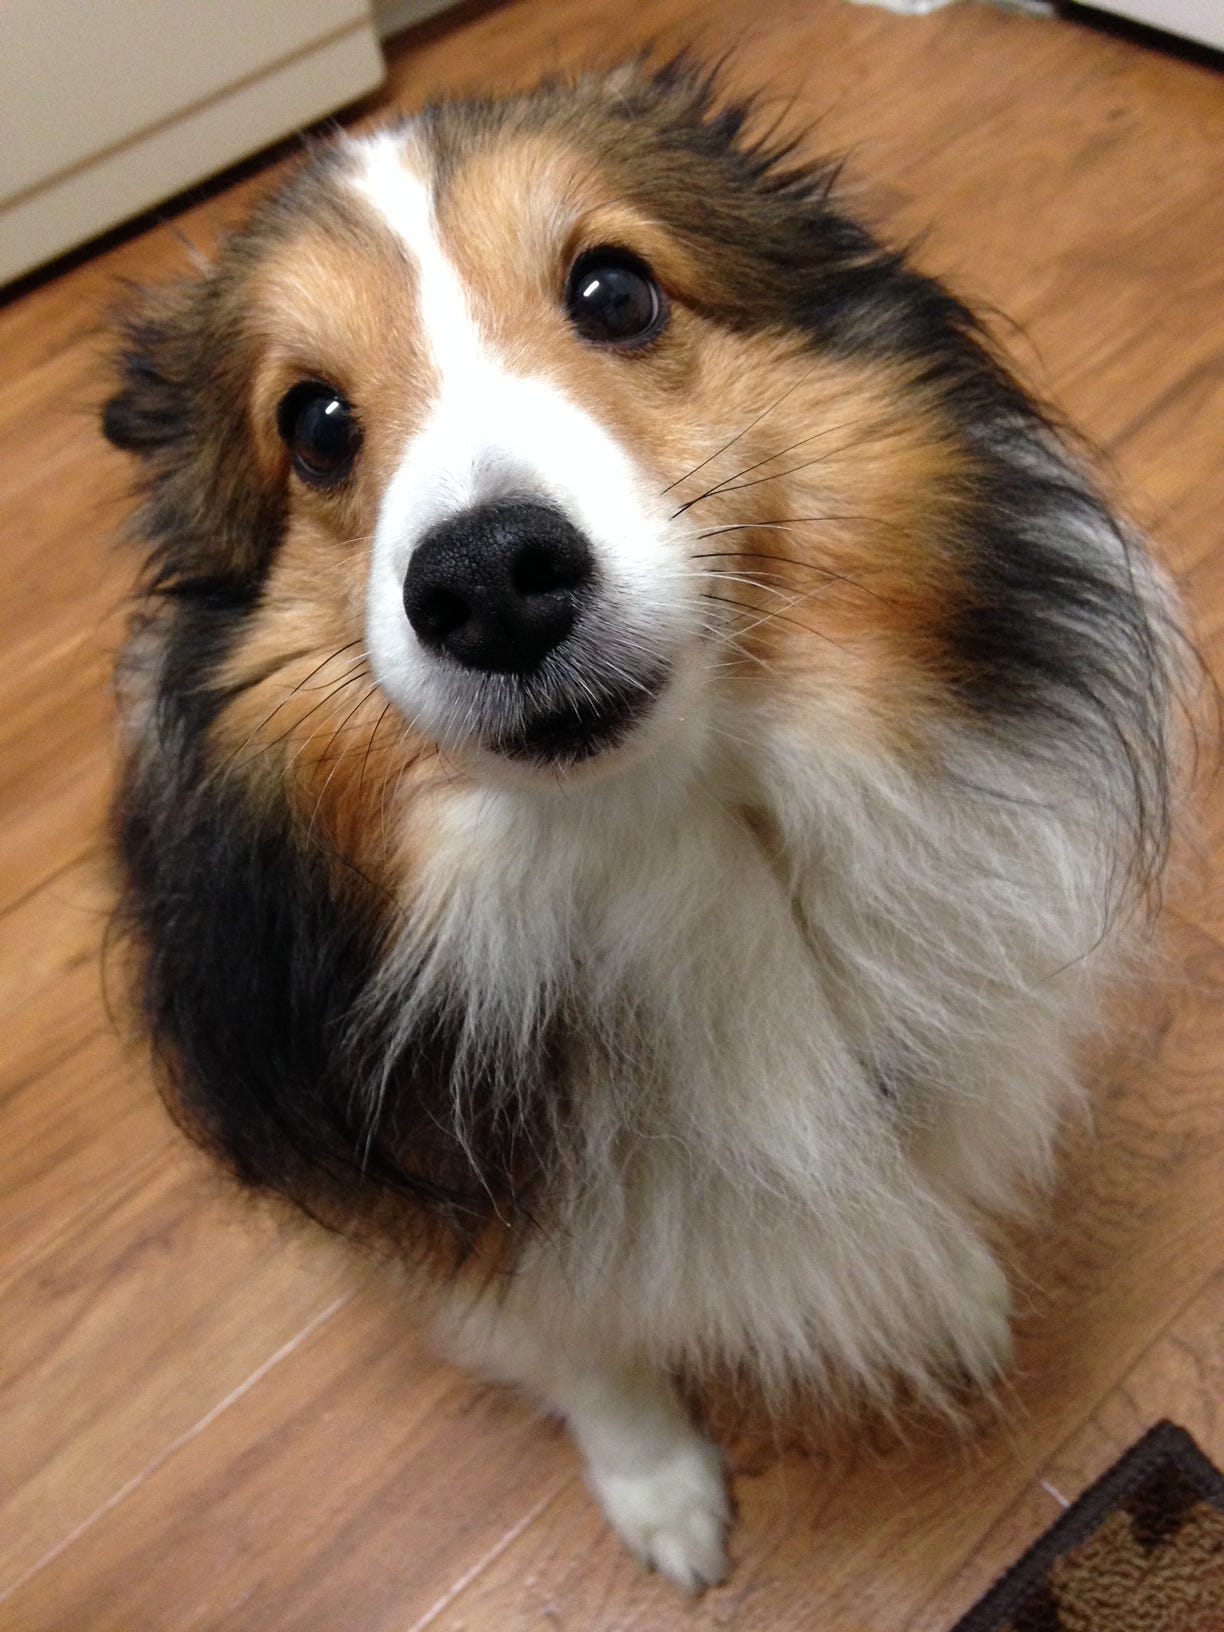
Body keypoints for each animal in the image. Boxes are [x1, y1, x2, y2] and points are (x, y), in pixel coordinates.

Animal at [103, 60, 1181, 1579]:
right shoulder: (487, 1207)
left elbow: (909, 1169)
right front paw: (662, 1493)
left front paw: (957, 1286)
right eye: (313, 424)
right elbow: (589, 1352)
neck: (669, 838)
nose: (492, 580)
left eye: (615, 291)